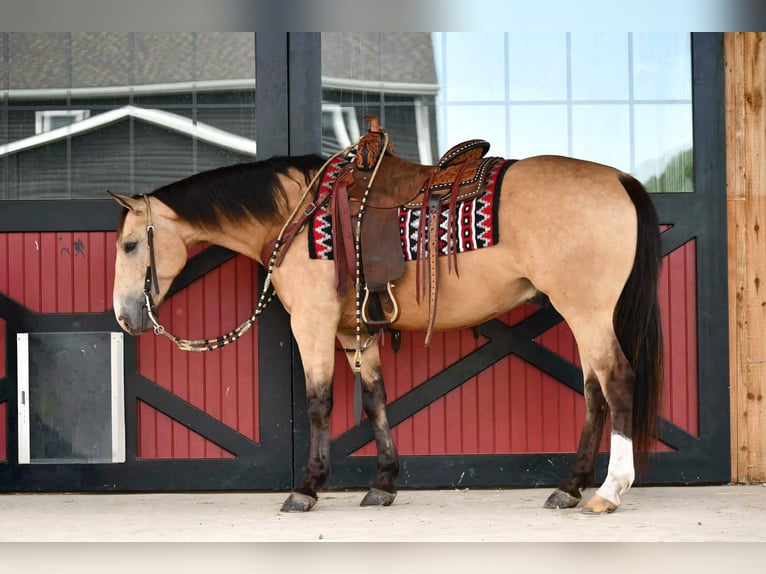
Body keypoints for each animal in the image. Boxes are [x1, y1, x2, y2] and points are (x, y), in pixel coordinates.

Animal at [110, 137, 664, 515]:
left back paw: (608, 490)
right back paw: (568, 487)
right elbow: (375, 399)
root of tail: (617, 179)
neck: (299, 213)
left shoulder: (312, 323)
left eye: (131, 245)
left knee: (616, 382)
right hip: (582, 315)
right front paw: (383, 483)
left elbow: (319, 402)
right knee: (594, 393)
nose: (124, 316)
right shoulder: (352, 331)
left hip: (587, 312)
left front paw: (306, 488)